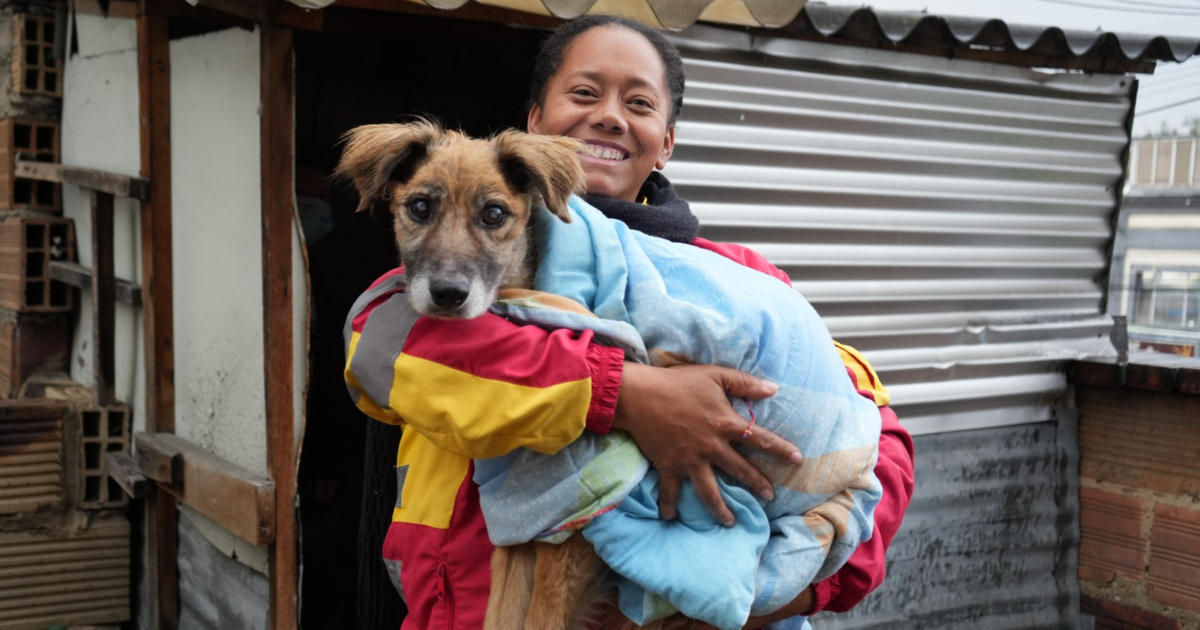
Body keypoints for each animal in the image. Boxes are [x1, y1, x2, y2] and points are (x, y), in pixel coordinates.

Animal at [336, 121, 686, 628]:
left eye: (494, 213)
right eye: (420, 207)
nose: (448, 295)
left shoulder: (578, 518)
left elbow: (541, 616)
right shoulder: (523, 520)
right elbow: (501, 611)